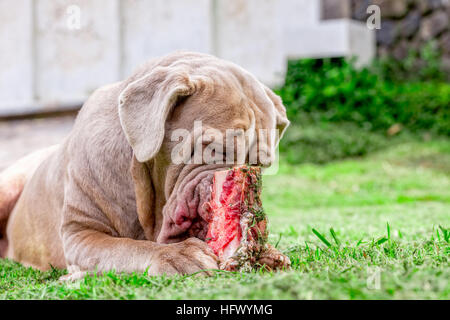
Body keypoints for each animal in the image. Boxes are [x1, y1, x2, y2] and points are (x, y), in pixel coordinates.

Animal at [0, 51, 288, 278]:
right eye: (215, 150)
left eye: (259, 165)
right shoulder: (80, 233)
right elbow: (126, 247)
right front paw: (177, 256)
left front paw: (267, 254)